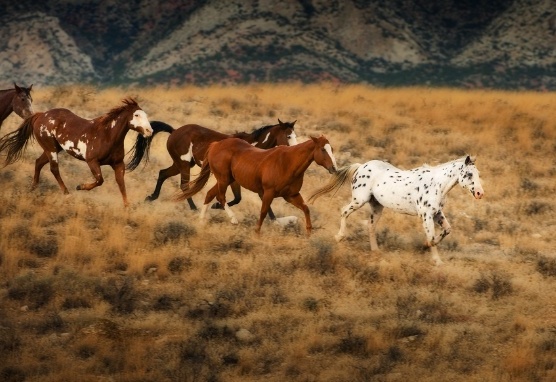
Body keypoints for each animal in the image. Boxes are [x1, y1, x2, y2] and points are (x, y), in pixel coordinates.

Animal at [0, 98, 152, 206]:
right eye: (136, 115)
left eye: (146, 114)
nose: (149, 131)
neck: (107, 134)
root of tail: (41, 115)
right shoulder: (92, 161)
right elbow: (100, 180)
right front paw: (80, 187)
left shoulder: (118, 164)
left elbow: (121, 184)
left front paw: (127, 207)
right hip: (51, 149)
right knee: (54, 169)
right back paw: (66, 193)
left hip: (54, 148)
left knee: (38, 163)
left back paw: (33, 188)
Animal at [127, 119, 298, 215]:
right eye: (288, 135)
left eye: (295, 135)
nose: (295, 150)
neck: (251, 147)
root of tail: (174, 131)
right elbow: (239, 198)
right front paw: (216, 205)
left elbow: (249, 198)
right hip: (183, 165)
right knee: (184, 185)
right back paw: (194, 208)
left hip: (180, 164)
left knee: (163, 173)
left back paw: (151, 197)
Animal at [177, 136, 338, 234]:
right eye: (323, 149)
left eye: (332, 149)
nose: (334, 168)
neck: (287, 163)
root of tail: (216, 145)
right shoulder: (268, 193)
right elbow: (263, 212)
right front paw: (257, 232)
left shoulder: (291, 195)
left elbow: (306, 209)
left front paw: (309, 232)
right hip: (224, 179)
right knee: (220, 197)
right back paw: (233, 219)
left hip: (226, 180)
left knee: (210, 194)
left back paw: (201, 220)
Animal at [306, 156, 484, 266]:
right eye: (469, 174)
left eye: (478, 174)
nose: (479, 193)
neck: (437, 184)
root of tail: (361, 166)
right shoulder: (426, 215)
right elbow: (432, 238)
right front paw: (436, 260)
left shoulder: (437, 213)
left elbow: (447, 230)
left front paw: (428, 247)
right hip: (359, 200)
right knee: (344, 212)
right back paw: (339, 237)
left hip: (376, 207)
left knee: (370, 227)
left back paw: (375, 251)